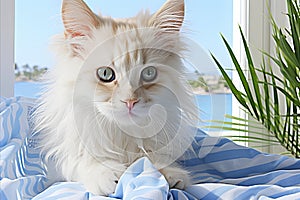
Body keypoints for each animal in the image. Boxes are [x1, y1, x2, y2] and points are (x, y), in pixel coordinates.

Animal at [34, 0, 198, 195]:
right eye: (105, 74)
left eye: (149, 73)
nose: (130, 101)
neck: (122, 134)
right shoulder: (64, 158)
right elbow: (87, 162)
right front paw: (107, 174)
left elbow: (152, 158)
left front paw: (170, 174)